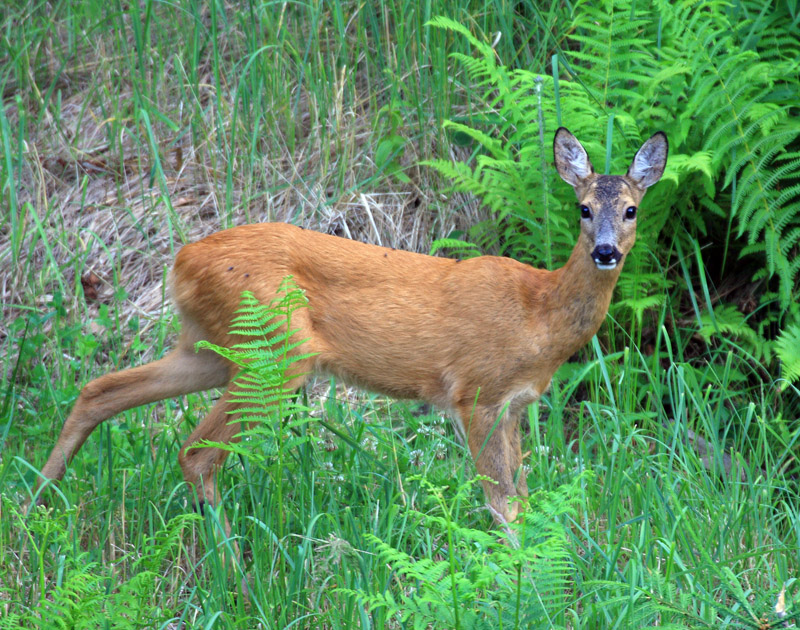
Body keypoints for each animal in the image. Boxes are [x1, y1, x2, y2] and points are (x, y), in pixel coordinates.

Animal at [32, 130, 668, 532]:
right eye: (584, 208)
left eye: (631, 209)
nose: (607, 252)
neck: (539, 316)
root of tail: (181, 261)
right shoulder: (476, 393)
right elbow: (503, 503)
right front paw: (514, 577)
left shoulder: (513, 405)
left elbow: (524, 498)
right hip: (276, 352)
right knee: (195, 451)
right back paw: (236, 573)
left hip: (212, 348)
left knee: (100, 389)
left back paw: (34, 503)